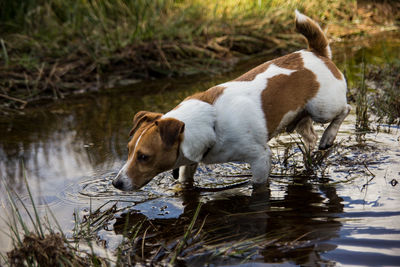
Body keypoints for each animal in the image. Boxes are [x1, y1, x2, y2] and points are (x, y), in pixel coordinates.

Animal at [111, 9, 350, 191]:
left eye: (144, 157)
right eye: (129, 150)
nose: (116, 183)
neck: (212, 123)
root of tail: (315, 53)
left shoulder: (260, 159)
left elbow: (258, 185)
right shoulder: (189, 164)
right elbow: (185, 179)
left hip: (322, 108)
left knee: (344, 110)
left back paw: (329, 136)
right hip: (299, 117)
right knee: (309, 137)